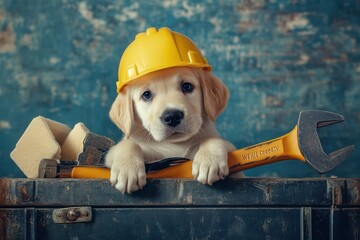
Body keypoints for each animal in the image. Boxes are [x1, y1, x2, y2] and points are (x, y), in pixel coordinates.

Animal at [105, 66, 238, 194]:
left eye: (187, 86)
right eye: (146, 95)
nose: (172, 116)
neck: (175, 144)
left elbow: (214, 139)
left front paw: (209, 160)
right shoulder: (109, 156)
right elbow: (128, 143)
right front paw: (127, 170)